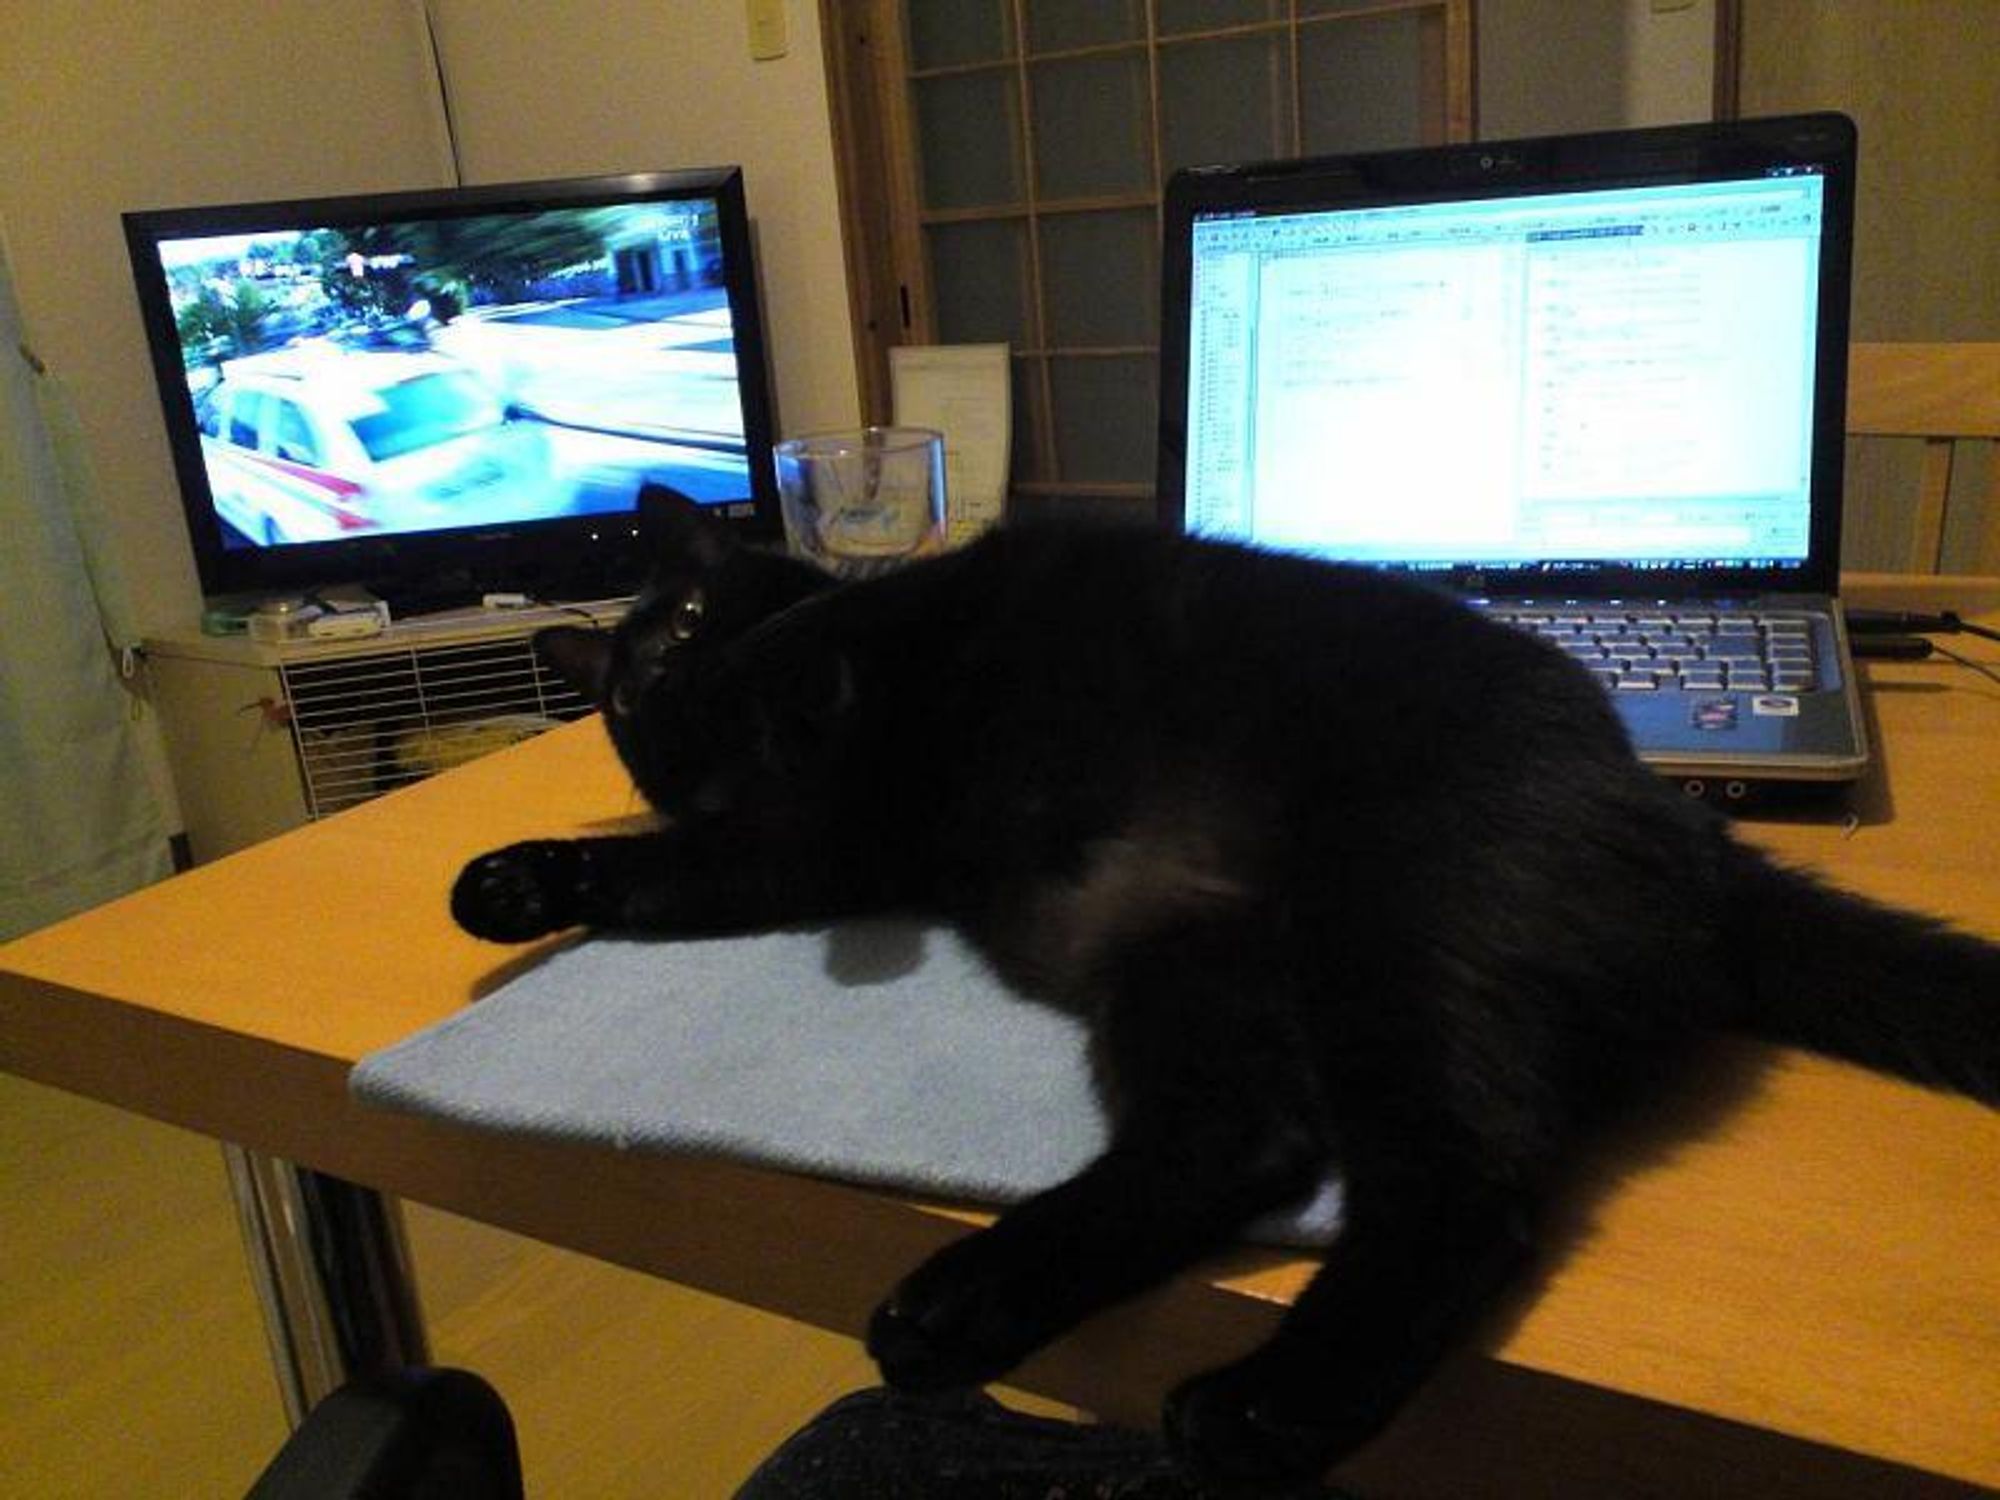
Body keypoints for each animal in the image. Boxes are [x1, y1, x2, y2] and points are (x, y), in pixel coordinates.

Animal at [454, 496, 2000, 1496]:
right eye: (626, 691)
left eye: (689, 616)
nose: (671, 680)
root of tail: (1690, 829)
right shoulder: (813, 846)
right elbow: (663, 869)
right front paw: (514, 884)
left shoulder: (880, 689)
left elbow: (818, 641)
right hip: (1189, 973)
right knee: (1245, 1143)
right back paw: (962, 1306)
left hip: (1398, 933)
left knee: (1462, 1193)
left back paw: (1257, 1405)